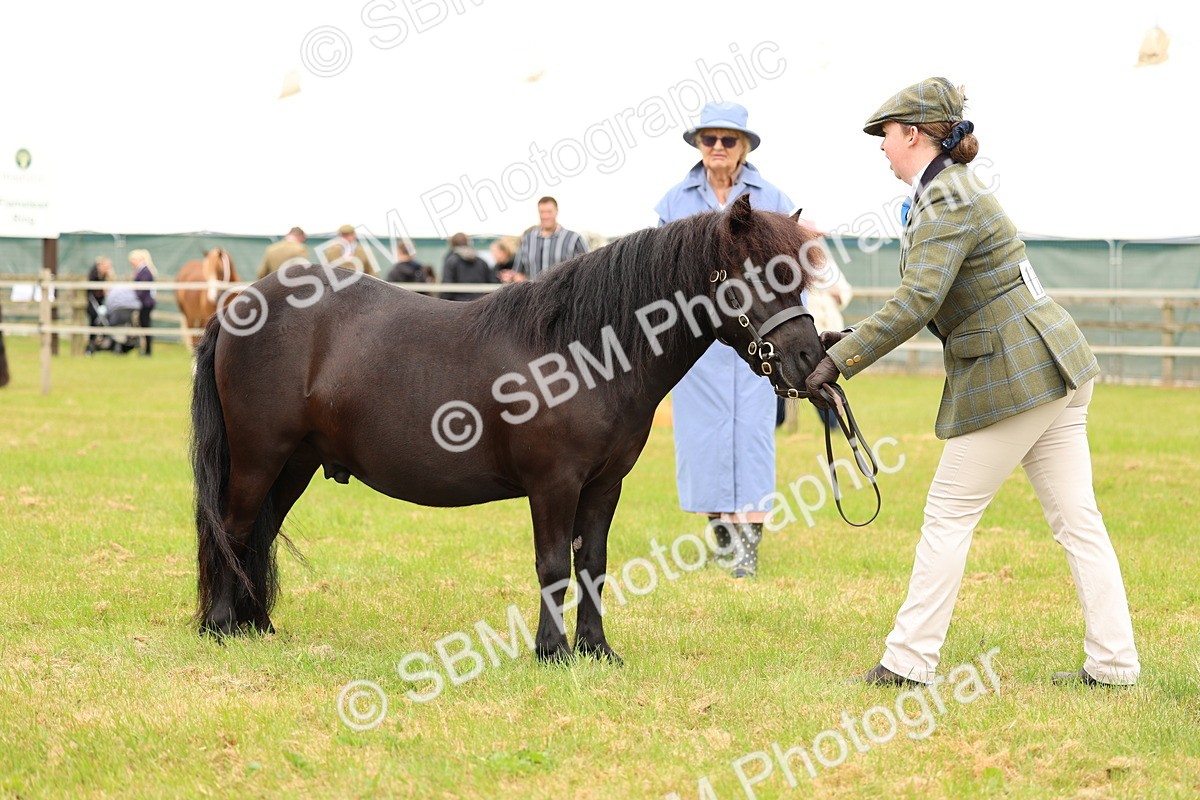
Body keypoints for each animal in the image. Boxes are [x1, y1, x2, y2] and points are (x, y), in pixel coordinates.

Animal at [192, 195, 826, 663]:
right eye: (757, 275)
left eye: (796, 277)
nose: (809, 361)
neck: (580, 352)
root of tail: (239, 306)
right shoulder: (553, 484)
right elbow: (553, 566)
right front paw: (552, 652)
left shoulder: (604, 485)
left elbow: (592, 564)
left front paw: (596, 650)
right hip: (258, 456)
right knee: (234, 528)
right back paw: (221, 627)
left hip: (294, 463)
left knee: (260, 534)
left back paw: (256, 625)